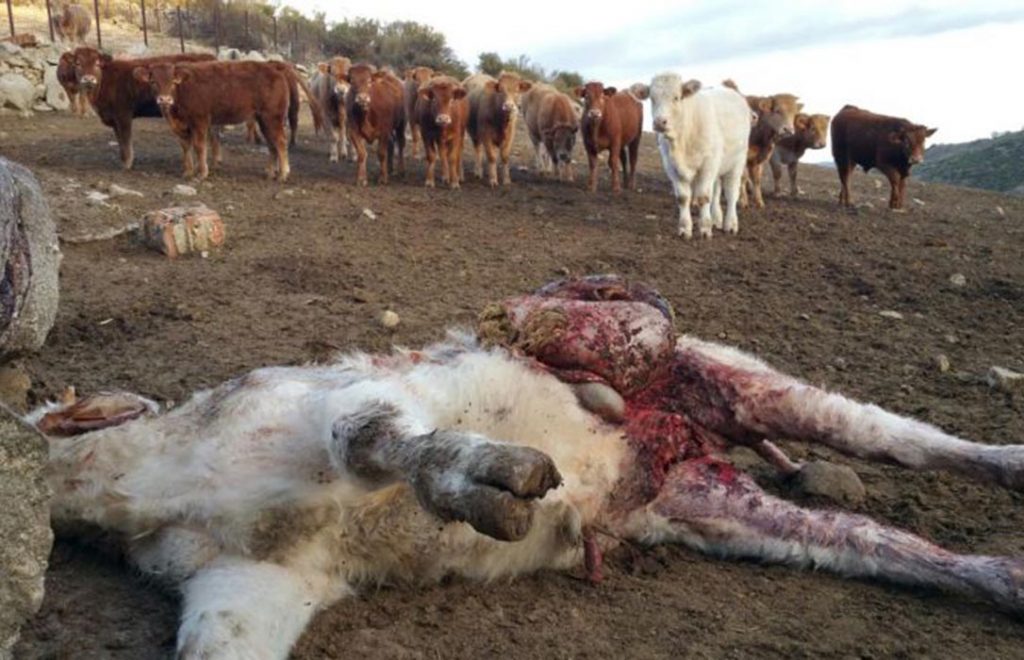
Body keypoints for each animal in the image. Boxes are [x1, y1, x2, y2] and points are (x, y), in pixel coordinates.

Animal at [70, 47, 215, 169]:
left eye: (97, 63)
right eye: (78, 63)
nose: (88, 79)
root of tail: (207, 56)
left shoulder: (123, 115)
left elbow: (126, 140)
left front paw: (127, 164)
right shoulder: (114, 120)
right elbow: (120, 141)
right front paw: (124, 161)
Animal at [133, 61, 301, 181]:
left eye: (173, 82)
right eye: (153, 82)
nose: (164, 99)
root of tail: (276, 69)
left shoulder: (200, 120)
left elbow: (199, 146)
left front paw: (202, 173)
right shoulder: (181, 128)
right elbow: (186, 147)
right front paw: (188, 172)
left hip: (273, 118)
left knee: (280, 142)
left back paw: (283, 174)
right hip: (264, 120)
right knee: (272, 145)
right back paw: (270, 172)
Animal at [633, 75, 749, 238]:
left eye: (676, 97)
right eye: (652, 98)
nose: (659, 122)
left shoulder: (708, 164)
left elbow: (704, 197)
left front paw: (705, 229)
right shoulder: (671, 167)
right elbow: (683, 198)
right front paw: (685, 228)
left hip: (738, 161)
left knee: (732, 192)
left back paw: (730, 224)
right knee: (717, 191)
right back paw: (716, 219)